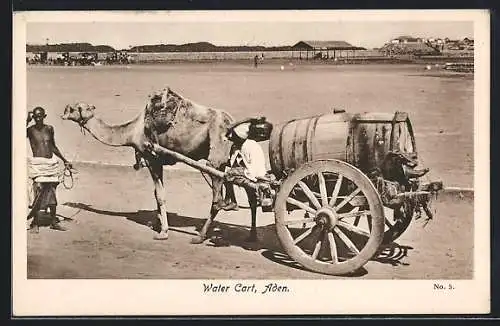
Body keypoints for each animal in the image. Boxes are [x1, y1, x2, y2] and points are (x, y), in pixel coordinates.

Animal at [60, 86, 240, 242]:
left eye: (72, 109)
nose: (62, 116)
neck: (133, 132)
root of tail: (231, 122)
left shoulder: (152, 158)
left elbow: (160, 195)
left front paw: (163, 232)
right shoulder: (156, 160)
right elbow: (155, 194)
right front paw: (157, 223)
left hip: (215, 156)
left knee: (216, 201)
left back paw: (200, 236)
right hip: (224, 159)